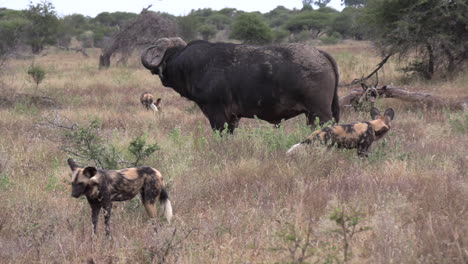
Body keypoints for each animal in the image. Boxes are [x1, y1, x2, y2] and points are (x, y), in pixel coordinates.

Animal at [141, 37, 338, 132]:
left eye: (163, 54)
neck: (192, 66)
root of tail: (319, 53)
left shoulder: (217, 114)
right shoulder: (233, 118)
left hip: (320, 112)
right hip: (313, 115)